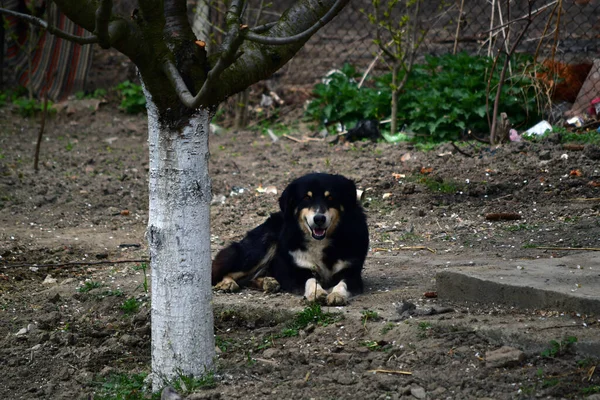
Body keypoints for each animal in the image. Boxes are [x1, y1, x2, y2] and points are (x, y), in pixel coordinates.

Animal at [211, 172, 370, 306]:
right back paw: (227, 283)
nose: (319, 219)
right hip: (260, 248)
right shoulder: (299, 271)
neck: (320, 242)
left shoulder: (352, 272)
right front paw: (316, 293)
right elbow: (311, 280)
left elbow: (342, 283)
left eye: (330, 198)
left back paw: (268, 282)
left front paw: (337, 295)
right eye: (306, 198)